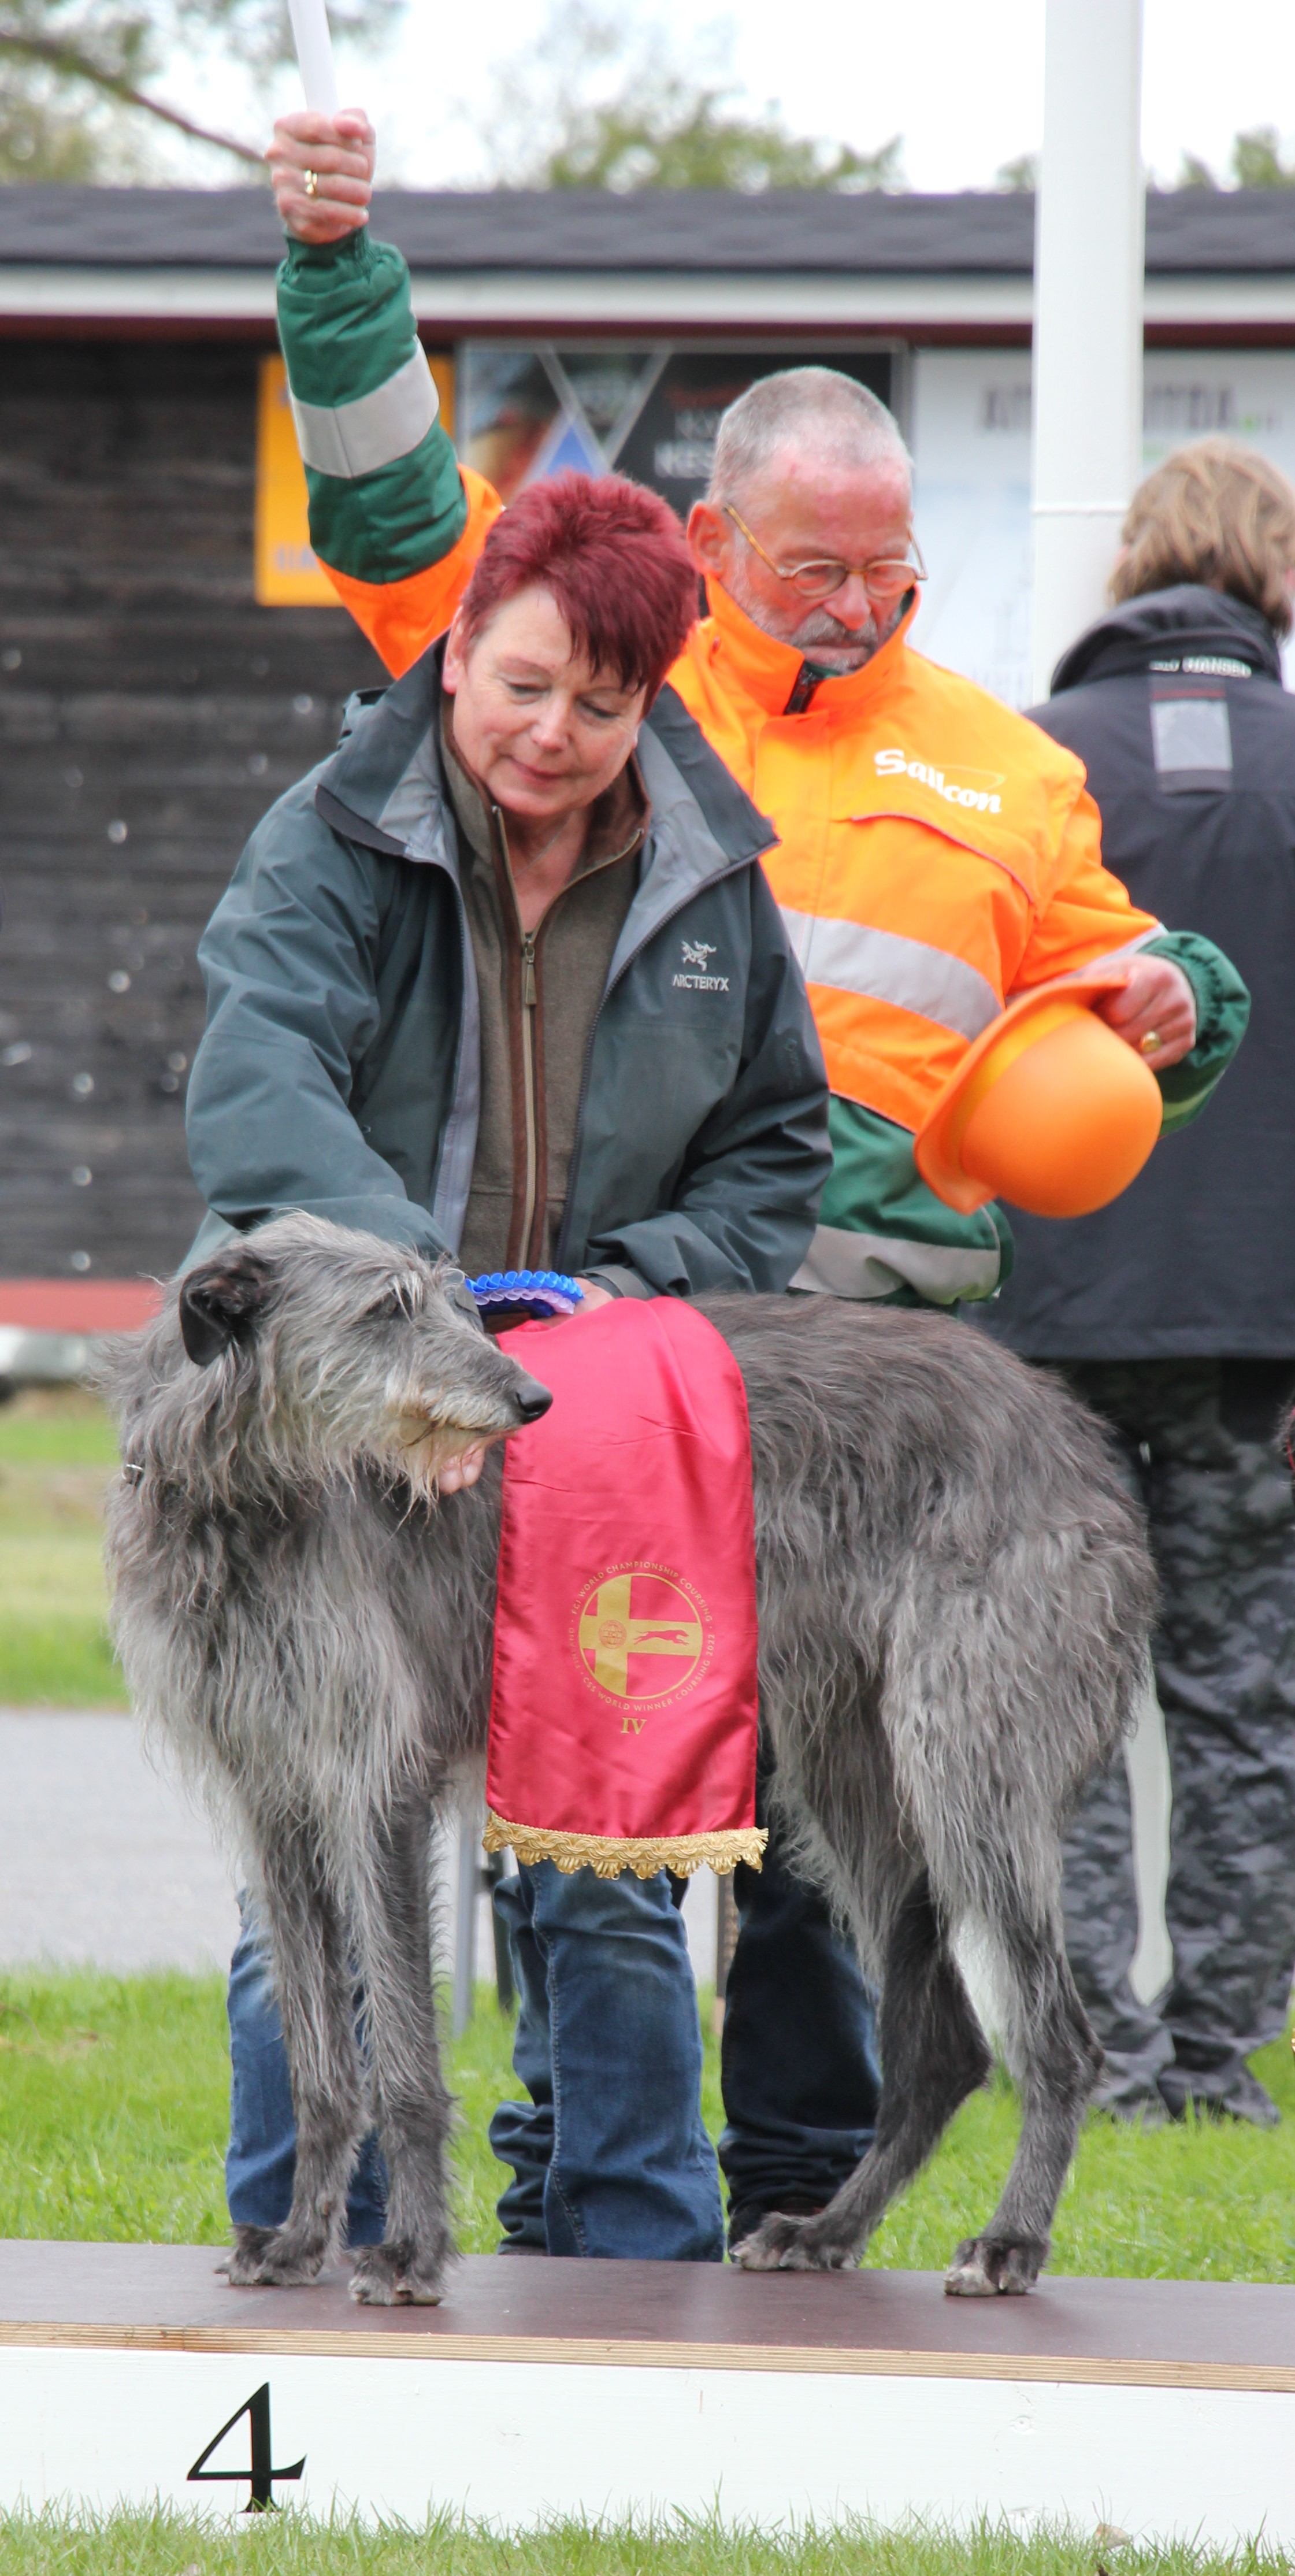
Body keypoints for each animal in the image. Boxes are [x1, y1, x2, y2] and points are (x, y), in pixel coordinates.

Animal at [101, 1215, 1153, 2308]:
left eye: (450, 1300)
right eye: (387, 1308)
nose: (530, 1401)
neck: (248, 1499)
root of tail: (1068, 1429)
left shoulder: (374, 1786)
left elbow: (402, 2060)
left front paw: (413, 2251)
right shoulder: (273, 1796)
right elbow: (319, 2063)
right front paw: (302, 2239)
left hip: (969, 1756)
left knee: (1060, 2038)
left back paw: (1011, 2241)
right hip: (858, 1773)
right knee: (943, 2046)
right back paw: (825, 2229)